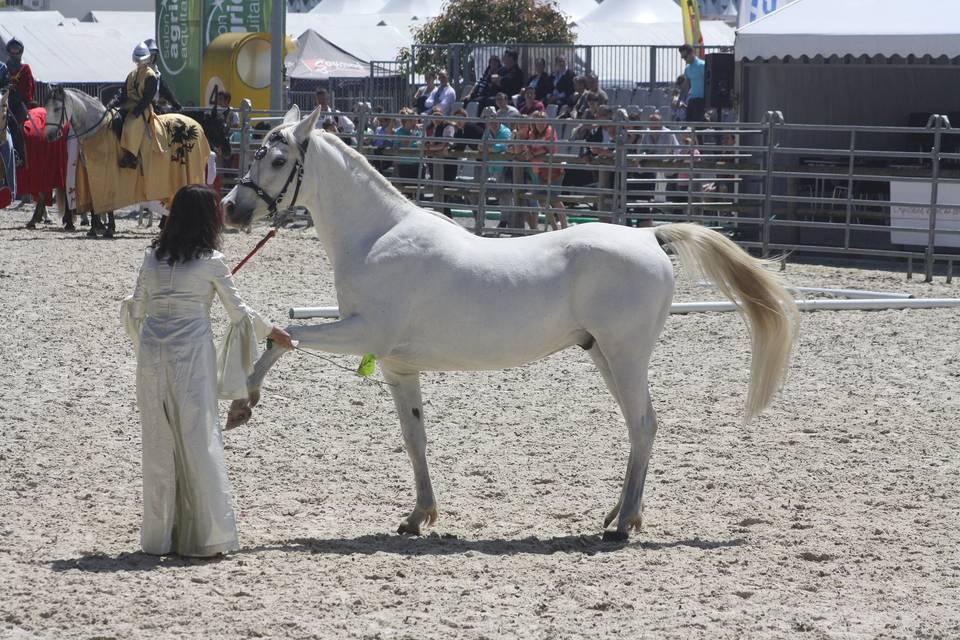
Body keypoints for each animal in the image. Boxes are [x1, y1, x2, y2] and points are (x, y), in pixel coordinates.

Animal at [221, 107, 800, 544]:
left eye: (277, 159)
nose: (231, 208)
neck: (379, 237)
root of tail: (648, 236)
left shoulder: (362, 332)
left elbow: (281, 337)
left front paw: (242, 406)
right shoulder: (396, 365)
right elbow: (415, 438)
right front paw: (418, 516)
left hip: (626, 355)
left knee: (642, 425)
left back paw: (623, 524)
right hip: (604, 355)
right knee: (643, 427)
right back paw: (618, 515)